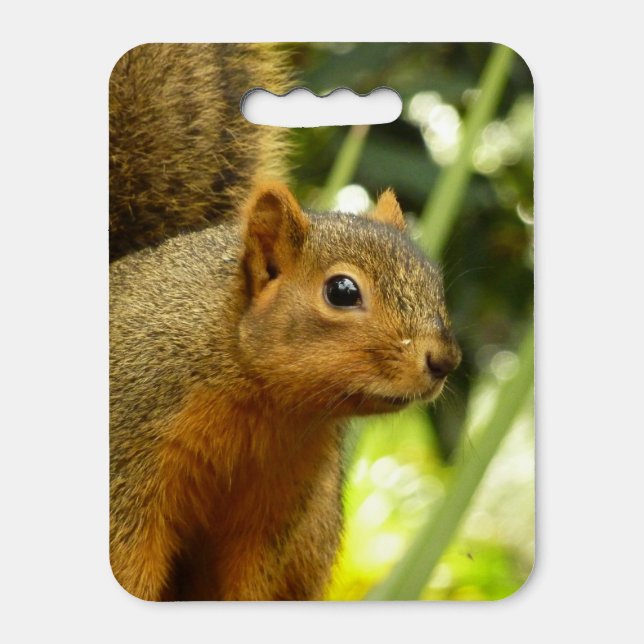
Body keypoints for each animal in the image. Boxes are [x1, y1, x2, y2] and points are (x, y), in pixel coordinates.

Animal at [109, 43, 462, 601]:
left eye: (434, 281)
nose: (446, 360)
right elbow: (129, 565)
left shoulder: (277, 508)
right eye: (342, 291)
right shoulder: (127, 458)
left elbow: (250, 581)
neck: (265, 406)